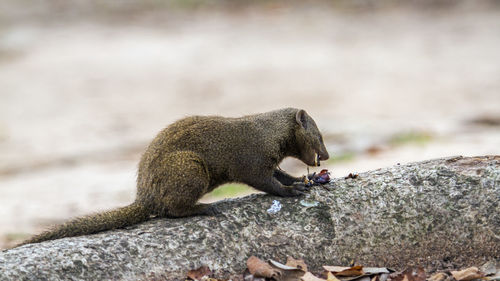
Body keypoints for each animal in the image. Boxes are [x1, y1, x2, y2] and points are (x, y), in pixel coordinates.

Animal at [19, 107, 330, 245]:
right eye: (320, 136)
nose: (326, 156)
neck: (266, 133)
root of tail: (144, 196)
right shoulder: (251, 160)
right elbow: (266, 183)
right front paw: (291, 191)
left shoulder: (267, 161)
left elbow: (280, 174)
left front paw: (303, 181)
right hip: (190, 167)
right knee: (171, 210)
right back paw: (204, 208)